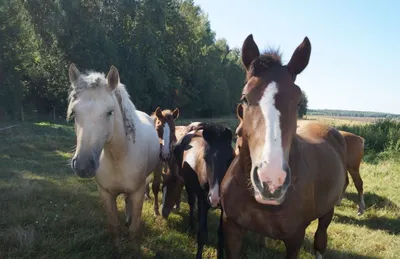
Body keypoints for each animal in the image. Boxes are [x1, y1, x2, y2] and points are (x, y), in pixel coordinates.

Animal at [67, 63, 164, 256]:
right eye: (73, 112)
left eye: (109, 112)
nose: (82, 165)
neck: (118, 156)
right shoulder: (106, 194)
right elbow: (114, 226)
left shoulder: (138, 192)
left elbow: (134, 230)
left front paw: (134, 251)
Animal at [164, 123, 234, 259]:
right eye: (206, 158)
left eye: (230, 158)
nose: (215, 198)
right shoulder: (203, 201)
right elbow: (202, 235)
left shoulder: (224, 206)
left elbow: (221, 235)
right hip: (189, 185)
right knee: (192, 202)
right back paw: (191, 225)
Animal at [220, 35, 348, 259]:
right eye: (245, 98)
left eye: (298, 102)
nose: (271, 180)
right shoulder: (232, 228)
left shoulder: (295, 238)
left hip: (327, 212)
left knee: (320, 241)